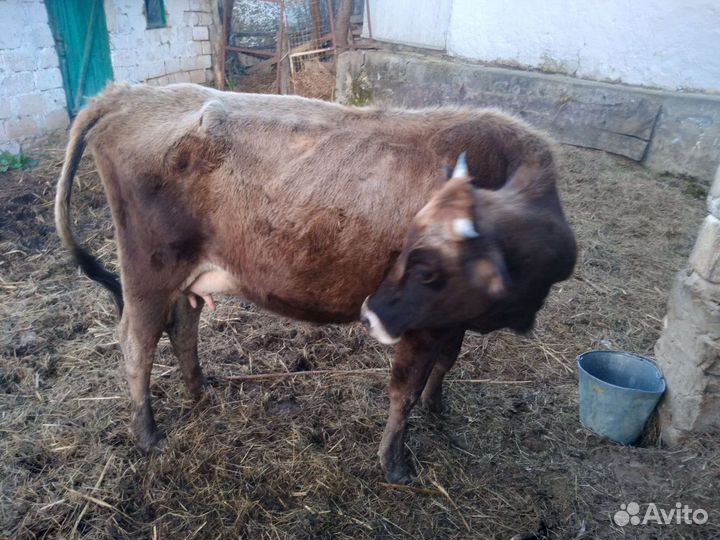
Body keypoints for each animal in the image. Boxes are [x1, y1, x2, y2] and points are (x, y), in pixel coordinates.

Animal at [55, 83, 576, 483]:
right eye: (410, 251)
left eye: (428, 268)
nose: (372, 312)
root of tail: (128, 94)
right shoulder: (420, 323)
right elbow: (403, 390)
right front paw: (395, 463)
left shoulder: (451, 319)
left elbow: (446, 363)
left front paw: (438, 406)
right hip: (148, 271)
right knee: (136, 344)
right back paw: (148, 435)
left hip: (184, 275)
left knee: (183, 327)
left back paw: (200, 391)